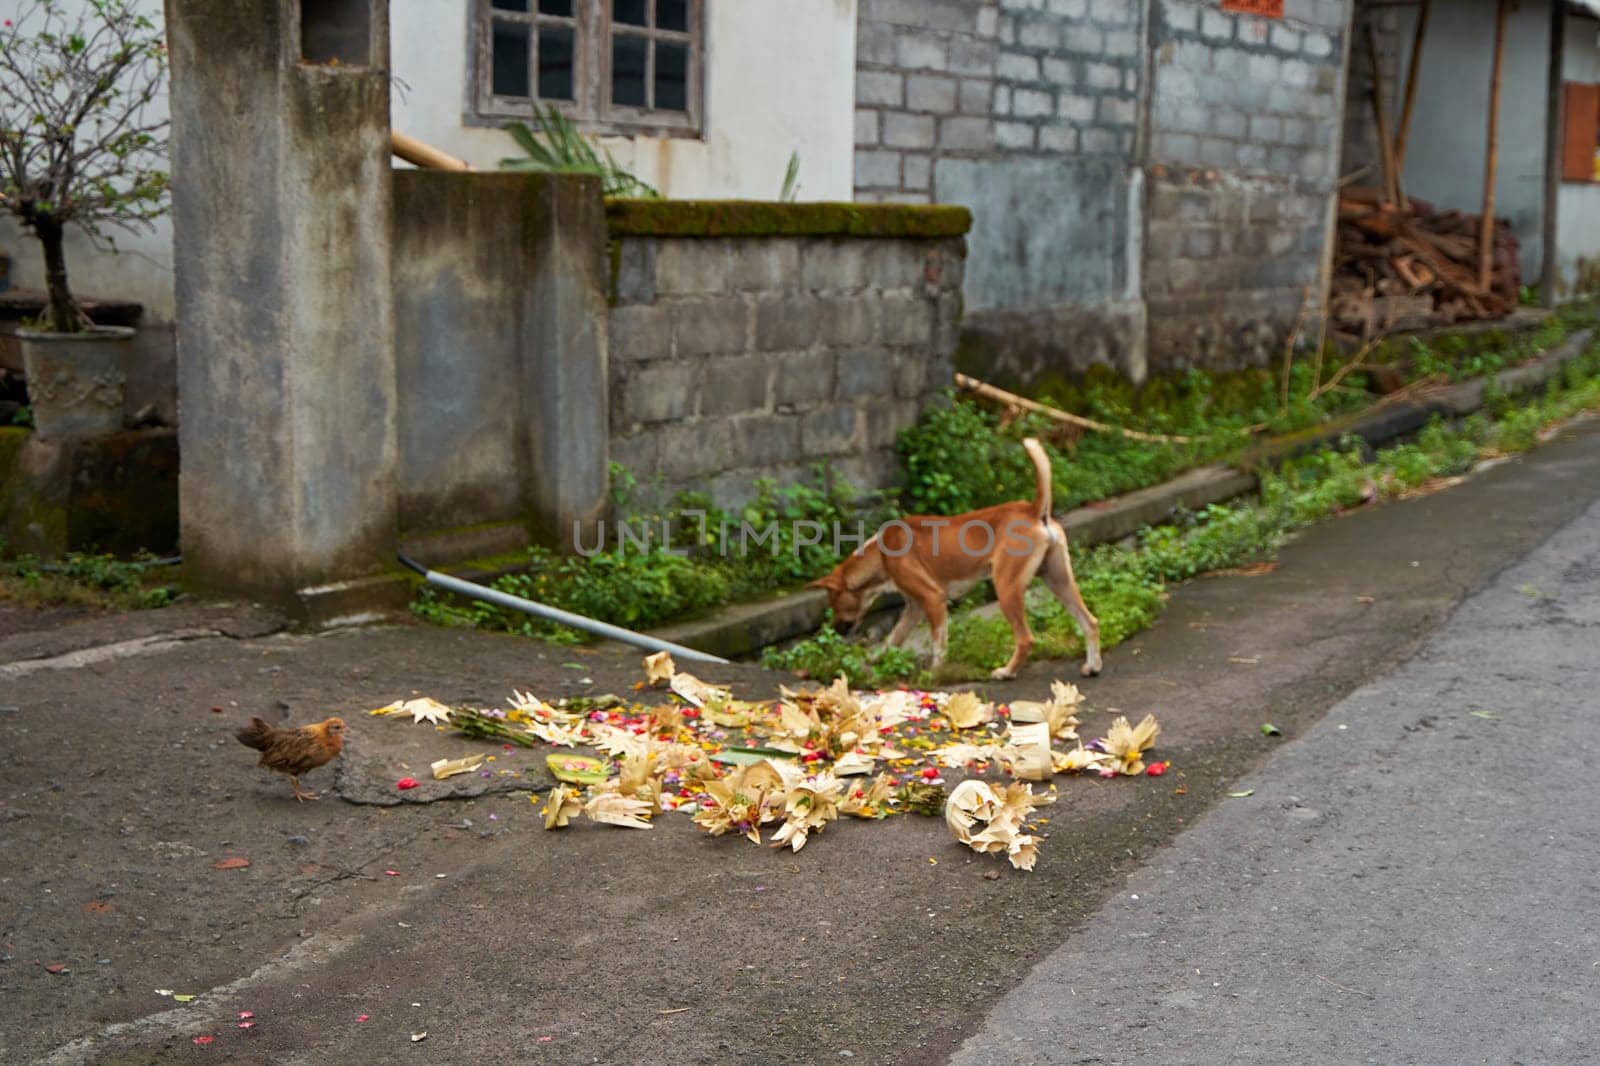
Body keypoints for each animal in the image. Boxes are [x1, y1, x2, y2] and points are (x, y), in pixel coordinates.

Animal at [812, 435, 1100, 675]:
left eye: (833, 603)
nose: (836, 630)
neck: (880, 553)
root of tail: (1033, 510)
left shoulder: (933, 600)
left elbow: (939, 644)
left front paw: (935, 674)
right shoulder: (914, 608)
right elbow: (892, 639)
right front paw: (873, 660)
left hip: (1006, 587)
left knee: (1026, 639)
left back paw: (1006, 672)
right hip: (1058, 580)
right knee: (1090, 622)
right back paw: (1092, 666)